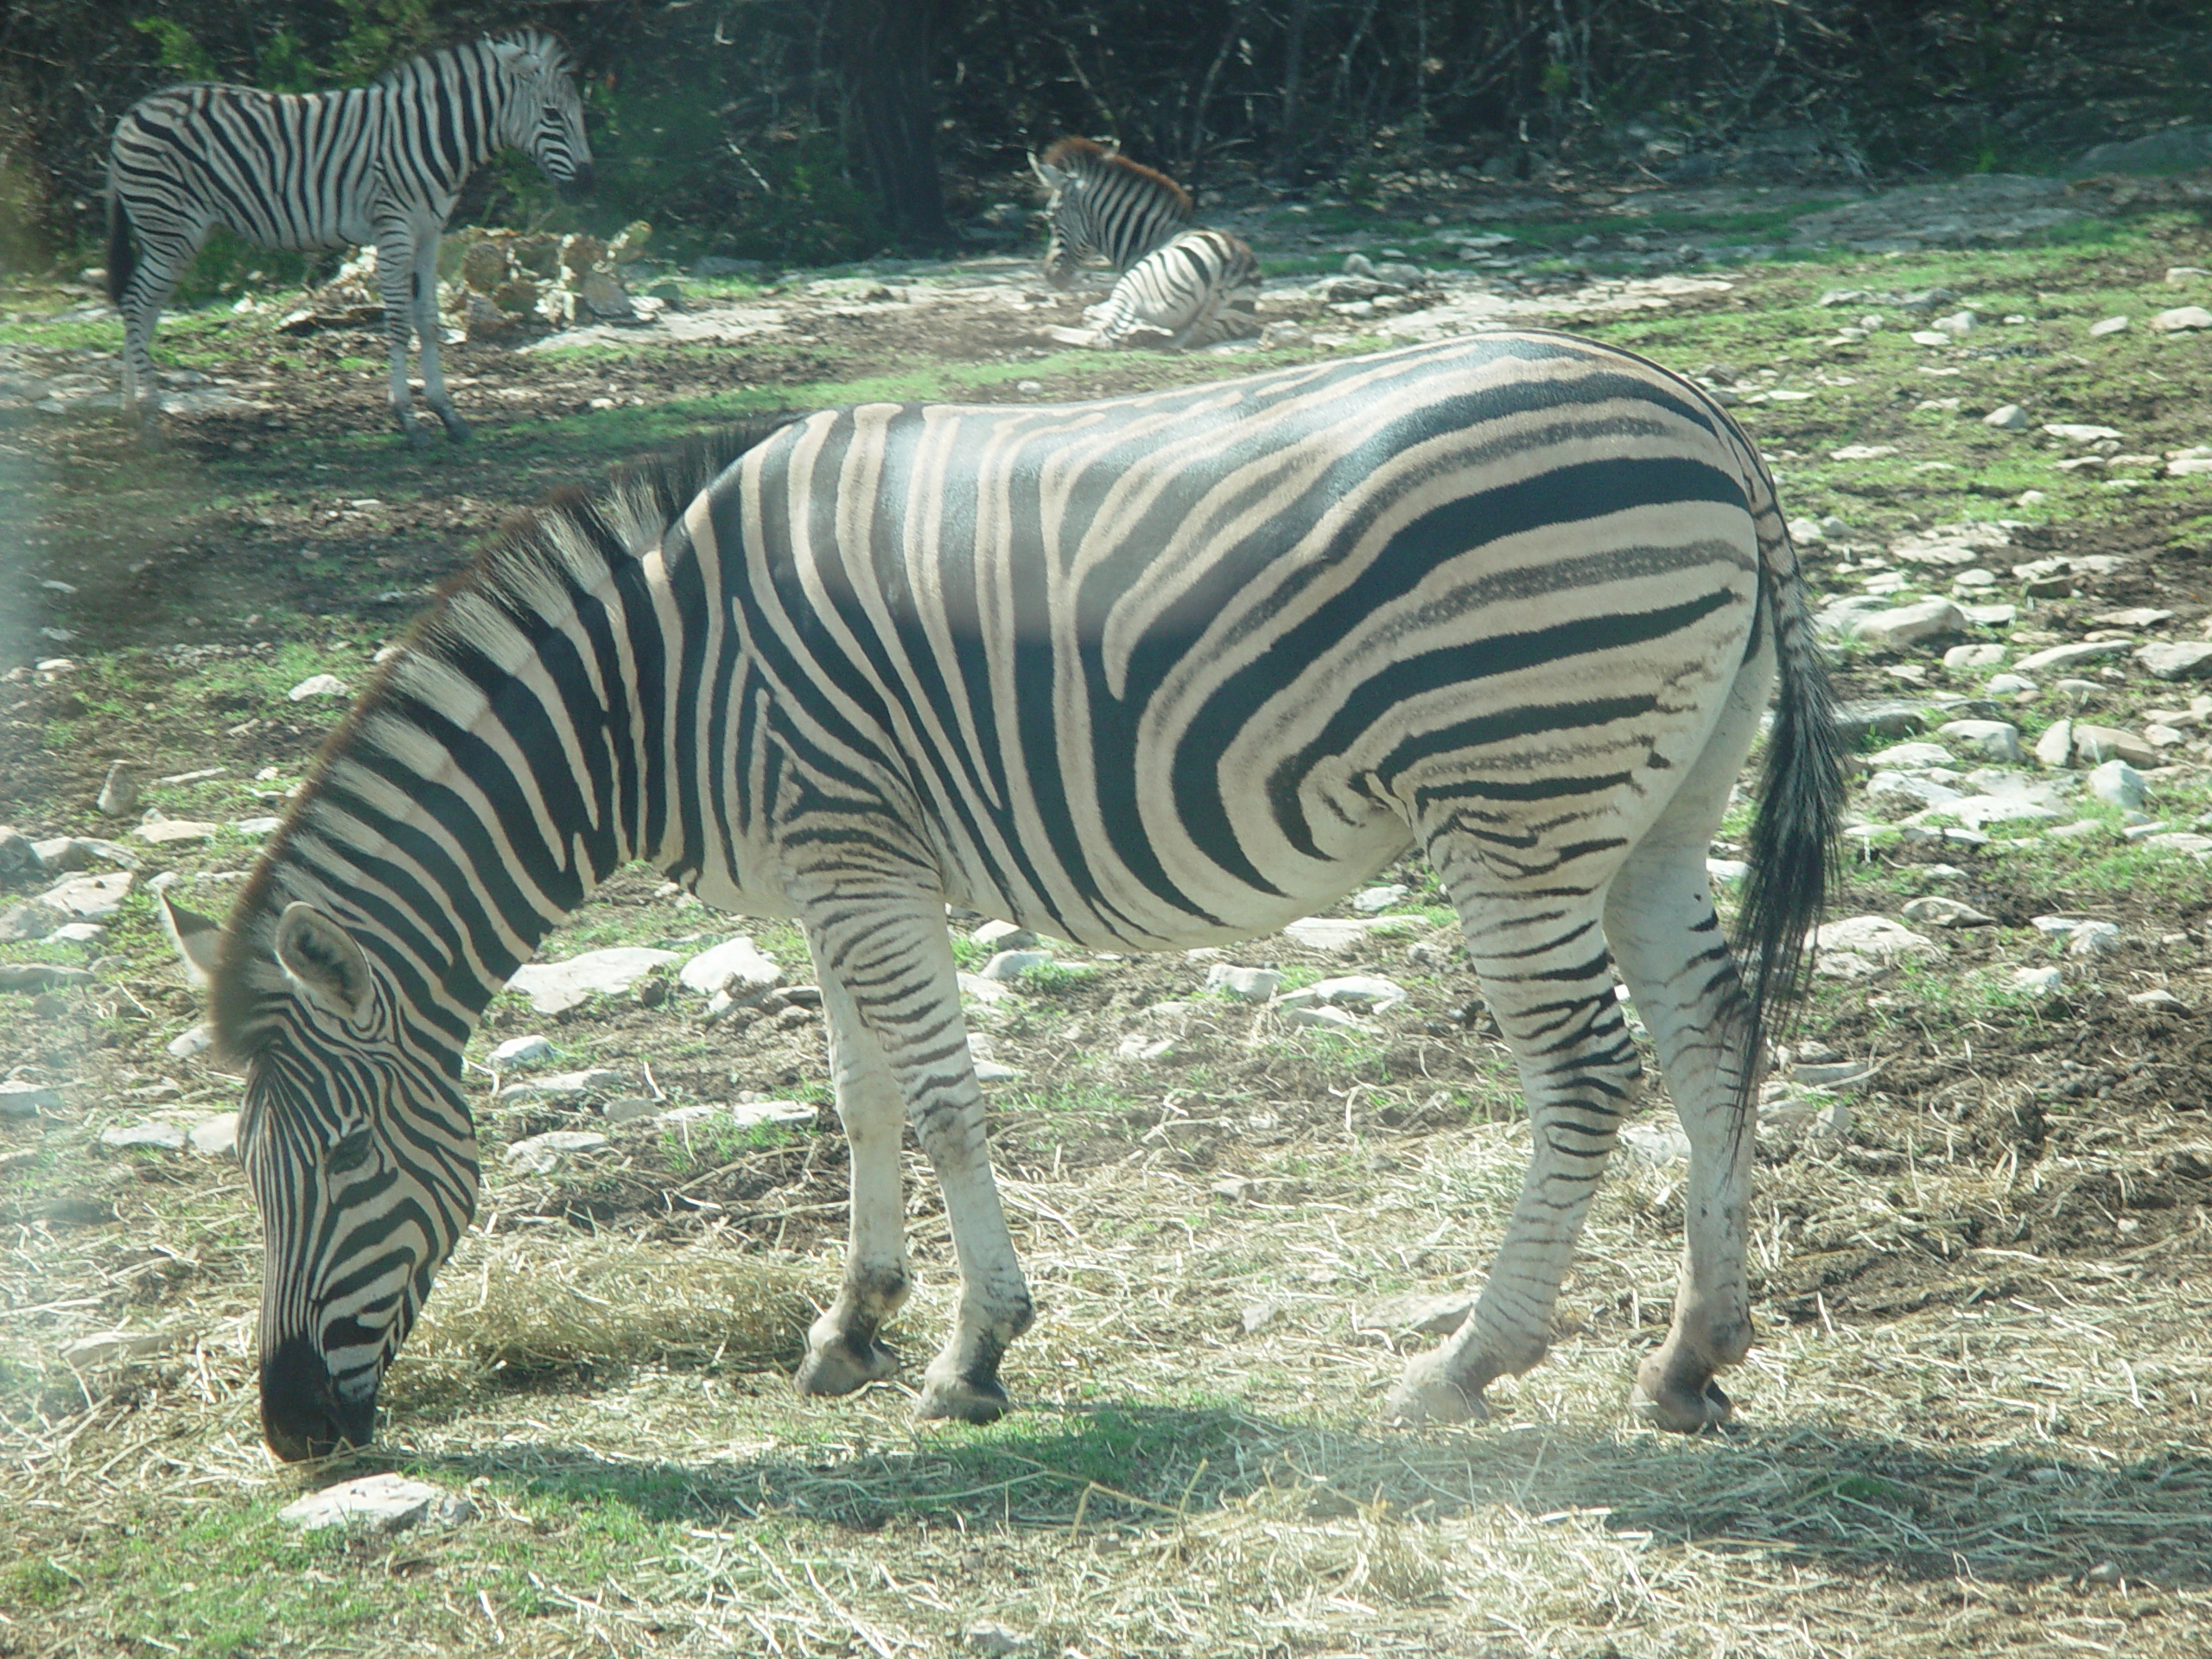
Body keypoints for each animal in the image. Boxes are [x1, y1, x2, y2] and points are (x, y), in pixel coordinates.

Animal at [106, 34, 593, 448]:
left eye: (577, 114)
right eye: (552, 114)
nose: (586, 186)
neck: (433, 136)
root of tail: (131, 112)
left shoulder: (430, 233)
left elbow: (429, 321)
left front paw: (448, 415)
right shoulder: (394, 228)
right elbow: (398, 323)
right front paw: (409, 420)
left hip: (177, 233)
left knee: (141, 309)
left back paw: (132, 412)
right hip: (171, 226)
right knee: (136, 305)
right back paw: (148, 418)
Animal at [168, 332, 1831, 1459]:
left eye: (348, 1159)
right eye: (244, 1176)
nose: (293, 1428)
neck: (652, 693)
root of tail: (1701, 410)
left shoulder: (856, 851)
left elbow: (944, 1096)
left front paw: (973, 1353)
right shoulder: (831, 866)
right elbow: (862, 1096)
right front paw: (851, 1324)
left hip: (1514, 795)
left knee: (1587, 1071)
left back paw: (1469, 1362)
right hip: (1659, 802)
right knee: (1709, 1036)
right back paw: (1692, 1355)